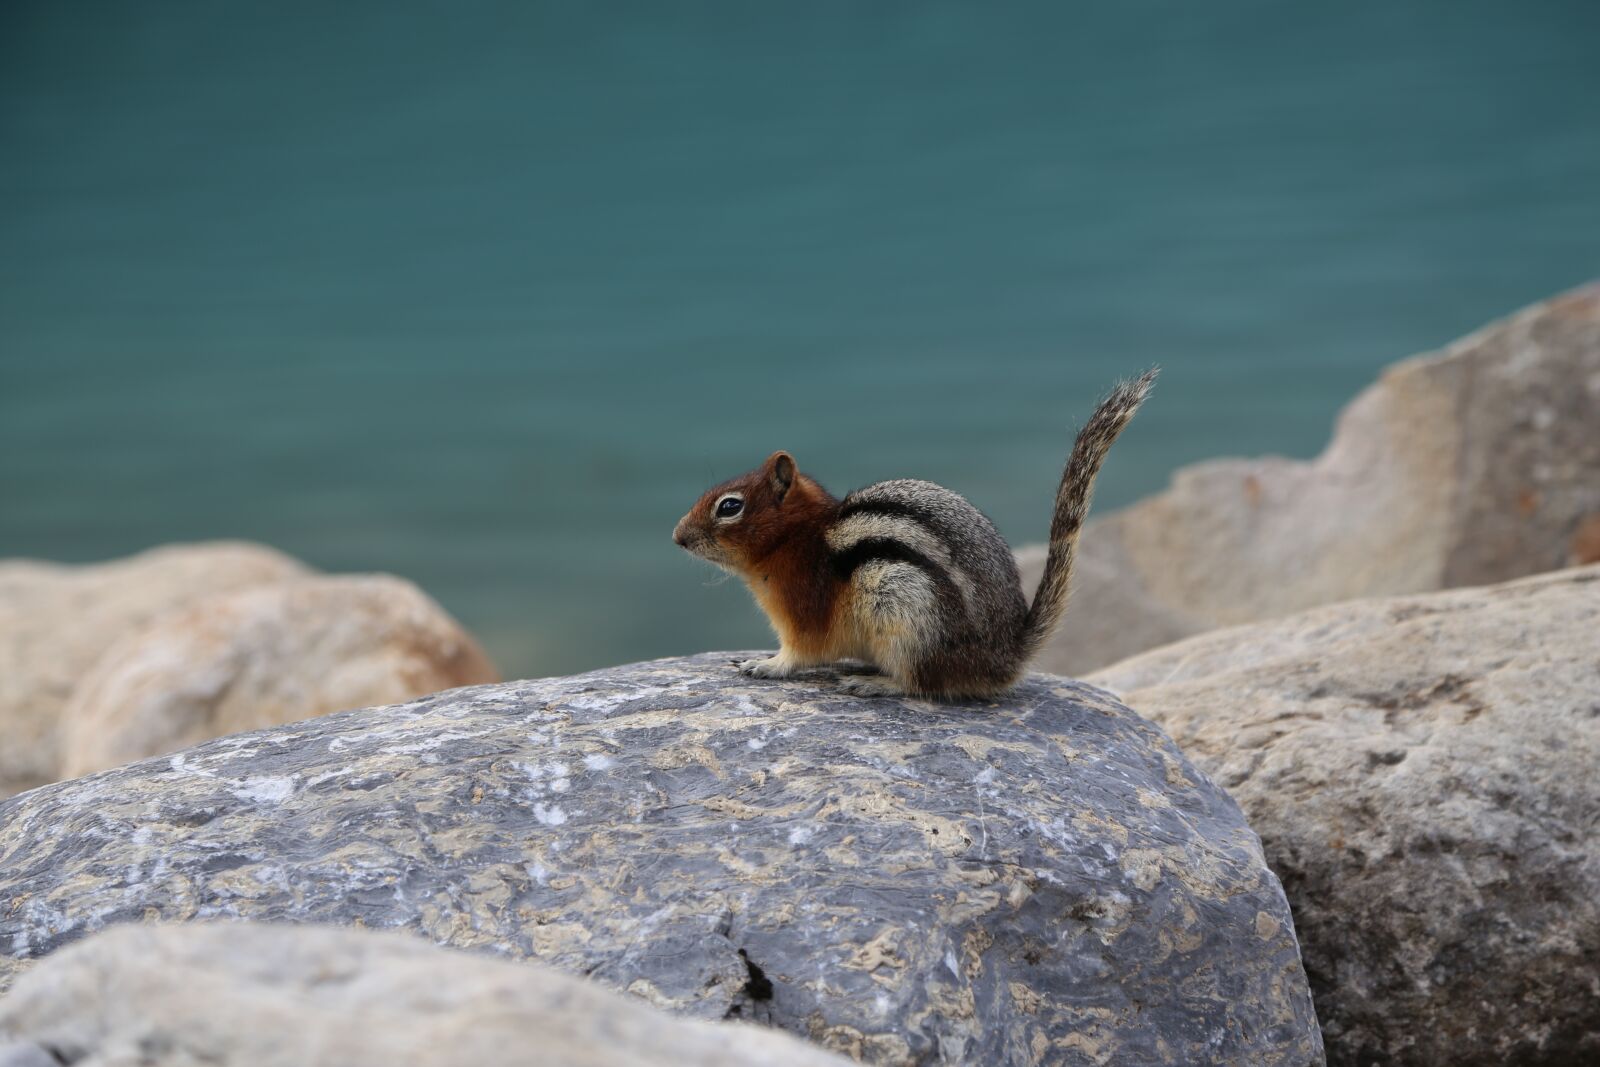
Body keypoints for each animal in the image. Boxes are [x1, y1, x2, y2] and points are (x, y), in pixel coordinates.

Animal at [672, 369, 1156, 700]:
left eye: (729, 506)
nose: (677, 537)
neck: (800, 537)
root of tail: (1005, 658)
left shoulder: (803, 612)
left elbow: (800, 654)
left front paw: (765, 664)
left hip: (908, 616)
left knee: (923, 684)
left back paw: (875, 683)